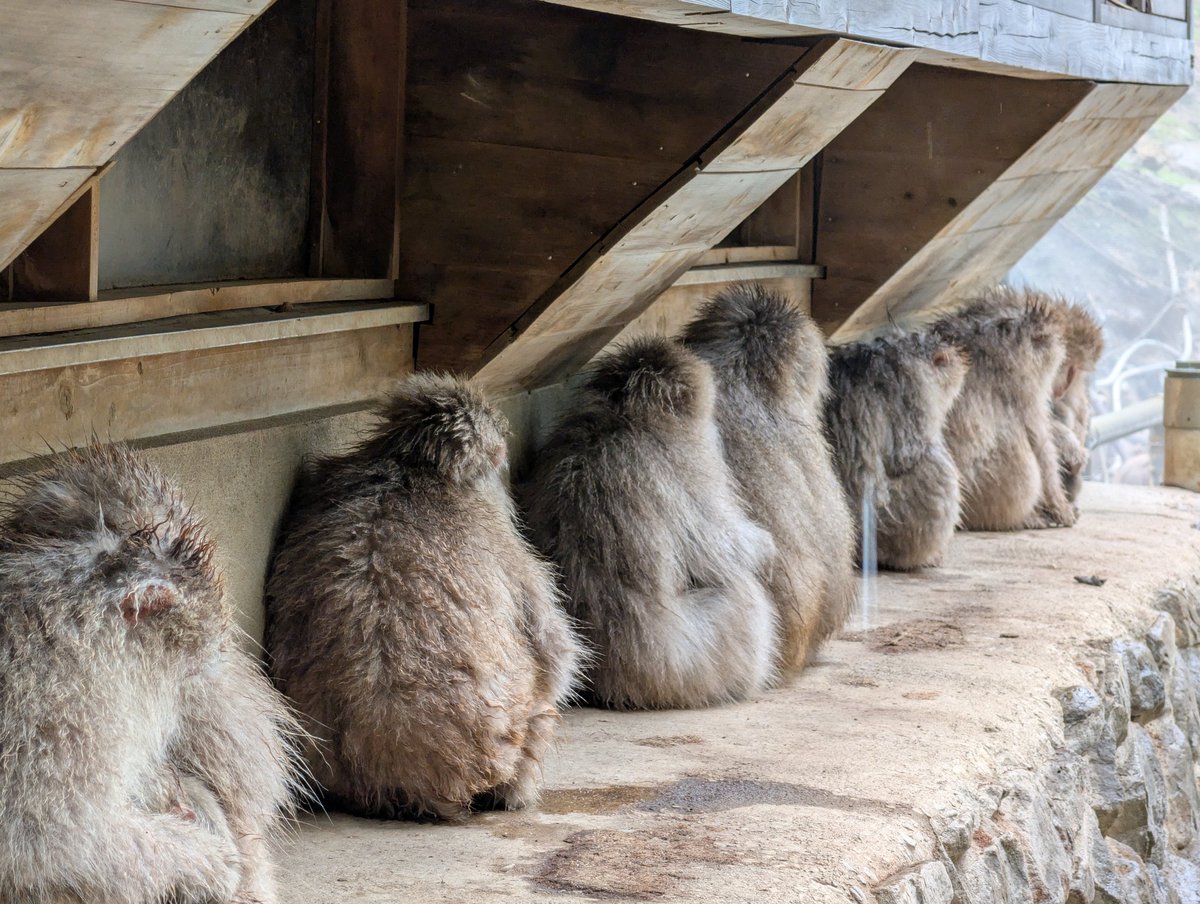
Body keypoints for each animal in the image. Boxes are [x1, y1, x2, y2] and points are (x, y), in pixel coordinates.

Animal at [523, 336, 779, 710]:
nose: (714, 427)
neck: (619, 422)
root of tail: (616, 685)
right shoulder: (683, 461)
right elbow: (721, 549)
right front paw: (765, 549)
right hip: (687, 666)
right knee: (743, 597)